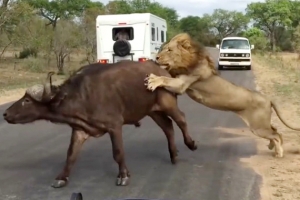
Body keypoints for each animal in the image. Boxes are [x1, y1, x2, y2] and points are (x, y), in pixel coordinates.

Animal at [4, 60, 199, 188]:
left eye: (27, 100)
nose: (5, 114)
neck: (81, 96)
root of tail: (163, 73)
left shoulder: (115, 125)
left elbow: (118, 152)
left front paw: (123, 175)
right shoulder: (80, 130)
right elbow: (71, 155)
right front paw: (61, 178)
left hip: (168, 103)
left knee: (181, 119)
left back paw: (191, 144)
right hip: (153, 111)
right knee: (168, 127)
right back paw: (173, 155)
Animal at [145, 32, 300, 158]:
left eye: (169, 50)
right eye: (163, 48)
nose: (156, 57)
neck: (188, 61)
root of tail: (268, 98)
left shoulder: (182, 84)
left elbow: (165, 79)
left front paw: (153, 80)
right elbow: (167, 76)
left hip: (258, 127)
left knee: (277, 134)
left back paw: (279, 153)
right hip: (262, 124)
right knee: (275, 130)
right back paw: (272, 147)